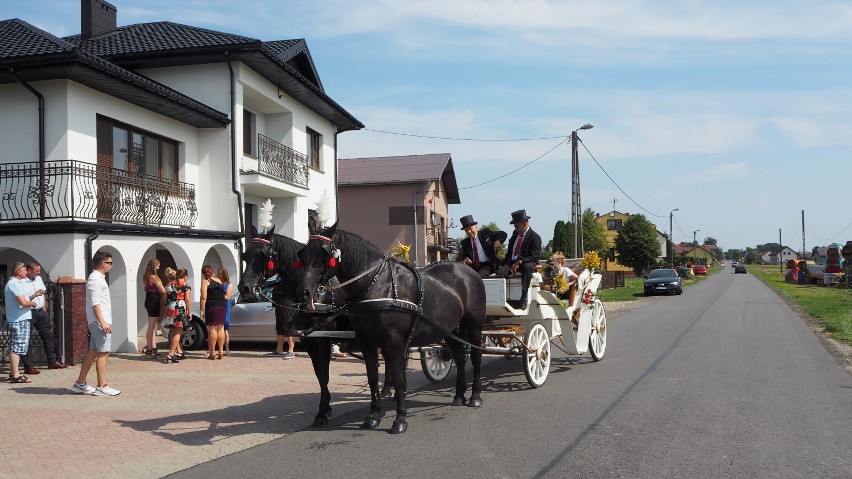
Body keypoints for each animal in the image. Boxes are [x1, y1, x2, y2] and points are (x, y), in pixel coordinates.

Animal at [300, 223, 486, 434]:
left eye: (324, 254)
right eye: (303, 254)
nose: (305, 292)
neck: (378, 285)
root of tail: (467, 270)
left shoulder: (394, 342)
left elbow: (398, 378)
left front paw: (400, 419)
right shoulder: (366, 342)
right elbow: (373, 378)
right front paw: (373, 416)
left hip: (474, 326)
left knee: (476, 357)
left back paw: (475, 396)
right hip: (449, 330)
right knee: (460, 356)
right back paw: (459, 395)